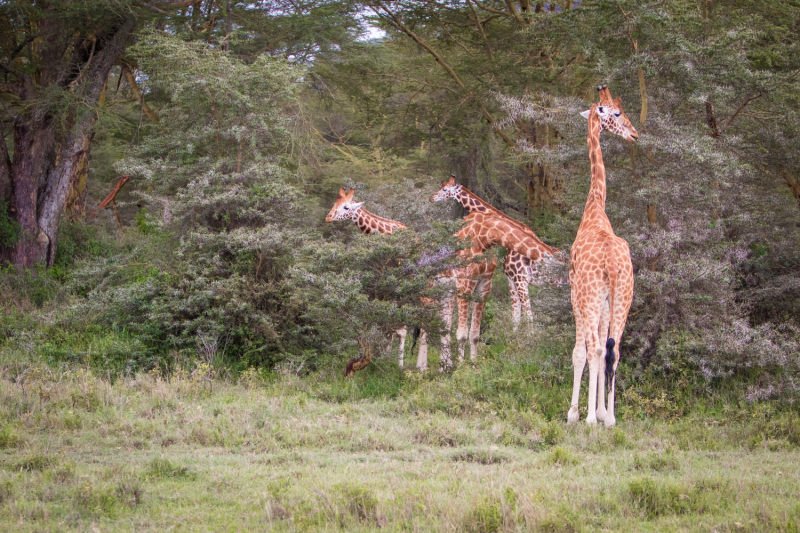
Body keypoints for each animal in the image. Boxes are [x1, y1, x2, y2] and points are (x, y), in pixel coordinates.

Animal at [324, 188, 450, 370]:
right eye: (335, 203)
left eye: (346, 207)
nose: (328, 217)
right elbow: (389, 325)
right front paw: (384, 358)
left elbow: (401, 329)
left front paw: (398, 365)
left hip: (430, 292)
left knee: (431, 322)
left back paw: (423, 367)